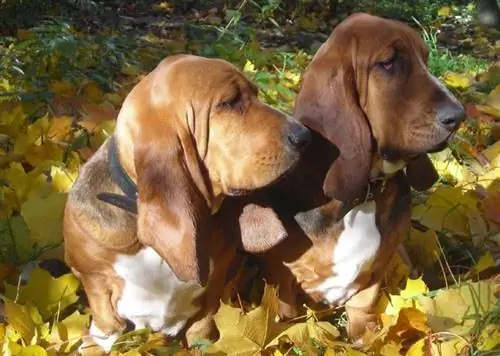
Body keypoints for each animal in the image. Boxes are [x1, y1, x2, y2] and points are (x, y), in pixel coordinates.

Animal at [64, 54, 310, 352]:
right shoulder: (93, 278)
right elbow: (105, 321)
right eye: (229, 102)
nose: (305, 135)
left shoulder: (215, 285)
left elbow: (203, 324)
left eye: (255, 94)